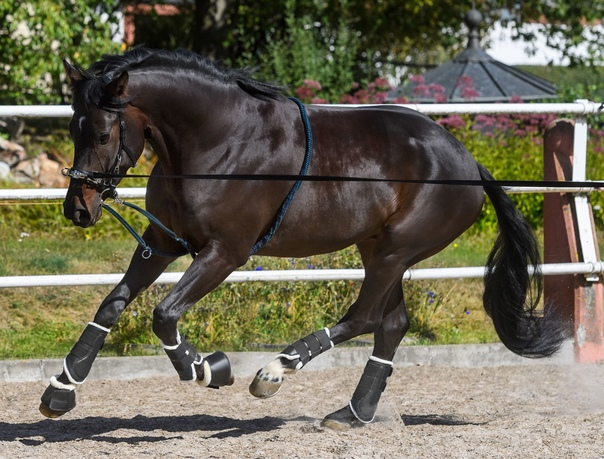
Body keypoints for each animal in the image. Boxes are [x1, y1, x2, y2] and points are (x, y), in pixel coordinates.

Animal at [40, 48, 564, 430]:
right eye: (72, 127)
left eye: (103, 133)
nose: (78, 210)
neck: (218, 141)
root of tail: (469, 162)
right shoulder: (162, 241)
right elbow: (112, 304)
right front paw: (60, 391)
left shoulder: (226, 252)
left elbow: (164, 314)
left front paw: (207, 369)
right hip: (379, 249)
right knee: (392, 324)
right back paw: (353, 413)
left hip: (394, 251)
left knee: (364, 317)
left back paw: (274, 372)